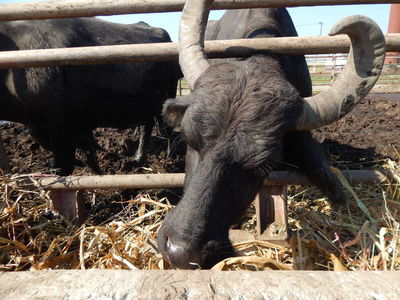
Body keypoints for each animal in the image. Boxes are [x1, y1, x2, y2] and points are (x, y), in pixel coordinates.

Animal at [0, 16, 181, 175]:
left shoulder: (62, 128)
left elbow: (60, 168)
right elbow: (88, 153)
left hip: (169, 92)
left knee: (166, 126)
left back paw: (170, 156)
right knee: (147, 125)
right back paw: (138, 158)